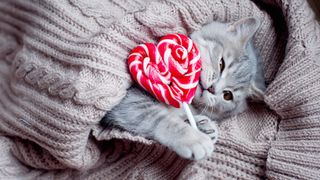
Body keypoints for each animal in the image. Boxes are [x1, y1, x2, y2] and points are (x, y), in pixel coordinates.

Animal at [102, 16, 264, 160]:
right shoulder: (130, 101)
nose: (213, 89)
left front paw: (203, 126)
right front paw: (194, 138)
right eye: (221, 64)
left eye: (227, 95)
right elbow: (160, 119)